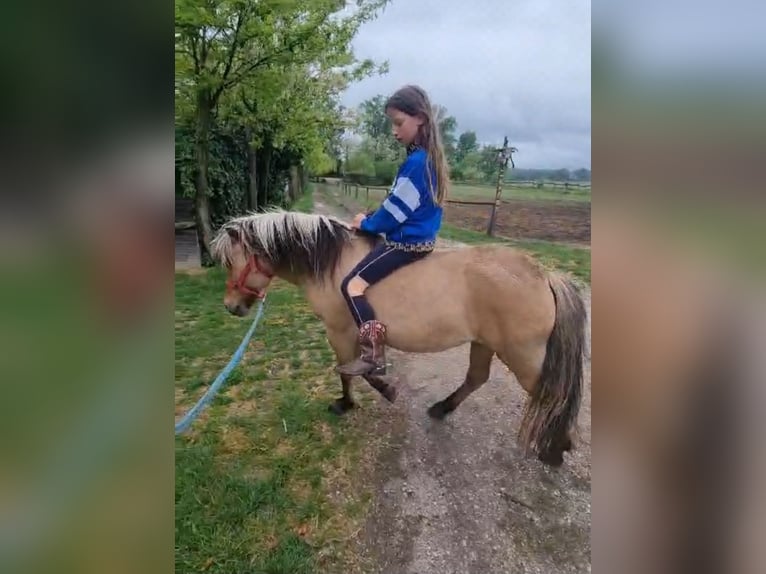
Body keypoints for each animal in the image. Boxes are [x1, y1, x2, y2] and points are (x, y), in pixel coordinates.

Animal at [210, 210, 587, 466]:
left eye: (230, 261)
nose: (230, 307)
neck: (331, 262)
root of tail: (545, 277)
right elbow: (360, 369)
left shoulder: (339, 332)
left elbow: (350, 371)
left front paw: (348, 403)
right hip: (485, 343)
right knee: (477, 378)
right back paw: (442, 408)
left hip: (522, 355)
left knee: (552, 393)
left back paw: (556, 447)